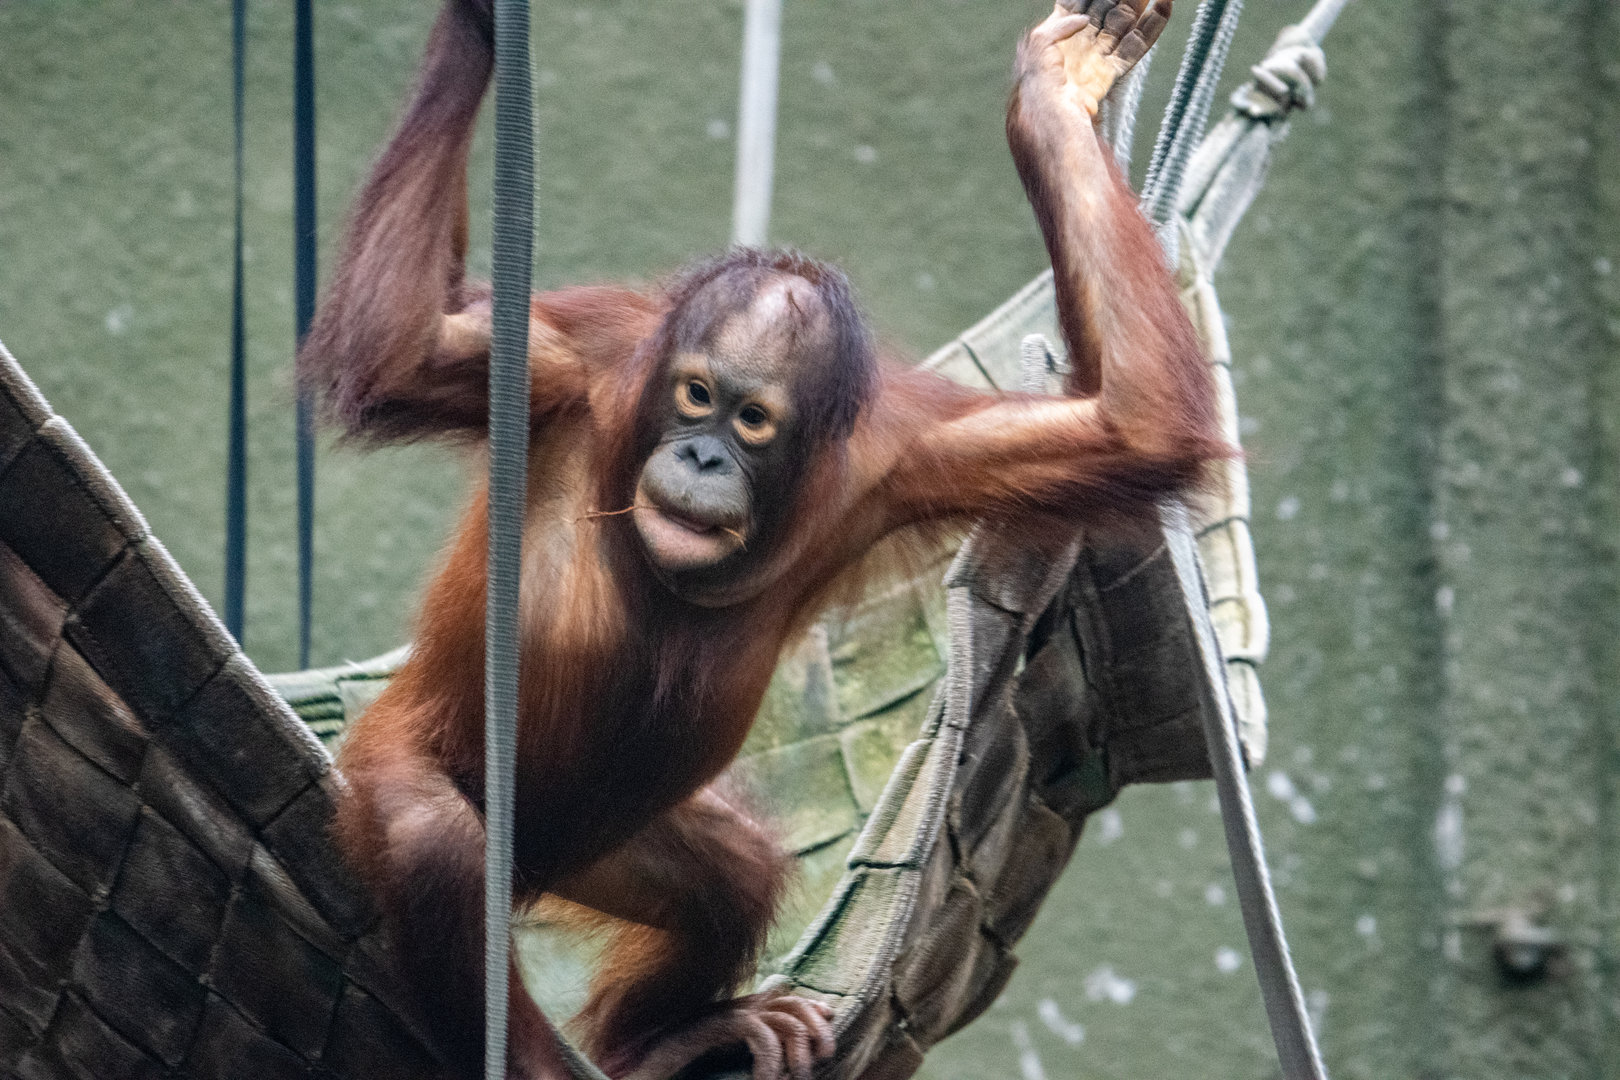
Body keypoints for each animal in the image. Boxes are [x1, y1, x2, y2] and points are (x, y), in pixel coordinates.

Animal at [298, 1, 1217, 1078]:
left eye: (753, 419)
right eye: (696, 393)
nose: (701, 456)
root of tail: (532, 872)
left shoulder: (904, 455)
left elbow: (1132, 429)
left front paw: (1059, 93)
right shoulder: (568, 365)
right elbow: (403, 352)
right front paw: (483, 24)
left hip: (610, 849)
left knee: (732, 871)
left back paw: (667, 1041)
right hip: (403, 755)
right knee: (434, 843)